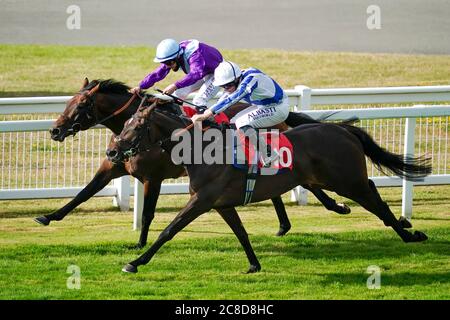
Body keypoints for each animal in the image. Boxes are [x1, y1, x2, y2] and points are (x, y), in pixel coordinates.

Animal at [35, 78, 350, 248]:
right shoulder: (113, 167)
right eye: (67, 102)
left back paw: (337, 206)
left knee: (308, 182)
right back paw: (284, 225)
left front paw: (140, 244)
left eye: (80, 106)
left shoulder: (153, 178)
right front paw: (48, 217)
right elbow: (84, 193)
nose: (55, 131)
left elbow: (147, 214)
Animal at [112, 104, 432, 272]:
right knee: (374, 193)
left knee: (377, 202)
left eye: (137, 127)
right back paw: (404, 226)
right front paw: (254, 265)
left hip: (347, 181)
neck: (203, 150)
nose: (112, 152)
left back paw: (408, 234)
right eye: (124, 124)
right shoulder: (221, 203)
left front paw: (136, 261)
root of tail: (342, 129)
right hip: (337, 179)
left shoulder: (202, 200)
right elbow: (241, 233)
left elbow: (170, 230)